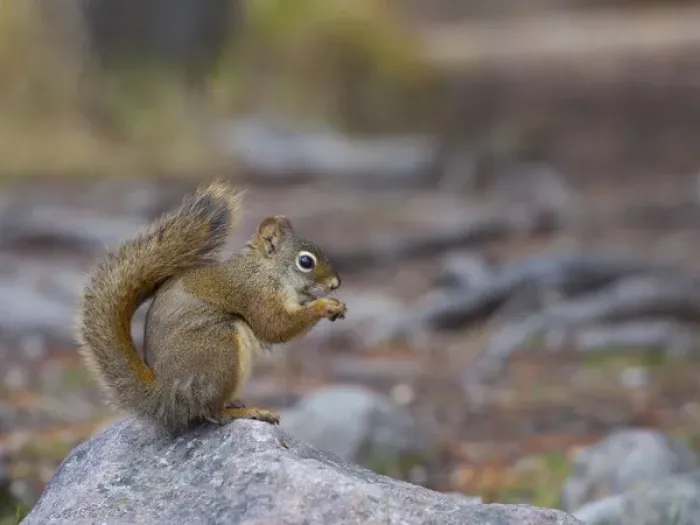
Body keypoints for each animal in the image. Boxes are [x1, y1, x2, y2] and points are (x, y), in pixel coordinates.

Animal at [75, 180, 346, 432]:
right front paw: (324, 306)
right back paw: (247, 412)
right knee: (212, 412)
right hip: (219, 347)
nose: (336, 284)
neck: (264, 269)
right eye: (305, 262)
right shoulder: (255, 294)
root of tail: (167, 397)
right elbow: (275, 326)